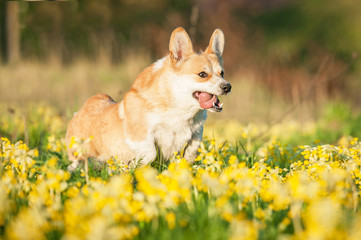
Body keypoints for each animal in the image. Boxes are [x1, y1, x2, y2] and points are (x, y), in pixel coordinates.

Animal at [65, 27, 231, 170]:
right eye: (202, 74)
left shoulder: (197, 130)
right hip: (79, 152)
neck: (180, 108)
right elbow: (150, 153)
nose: (227, 87)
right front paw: (133, 166)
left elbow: (192, 149)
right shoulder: (141, 136)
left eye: (222, 73)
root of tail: (80, 111)